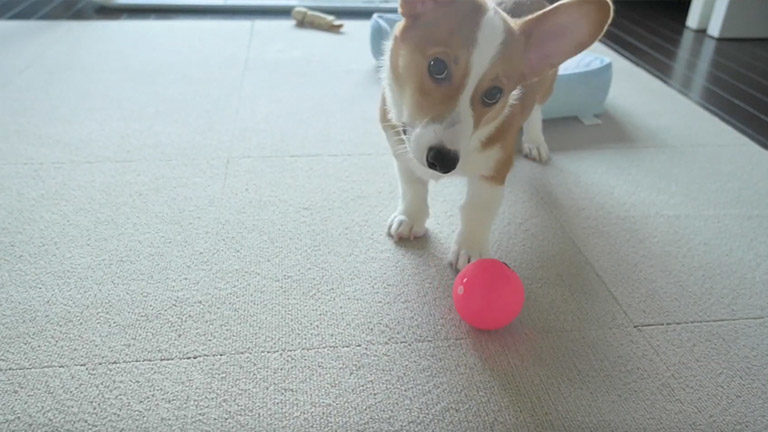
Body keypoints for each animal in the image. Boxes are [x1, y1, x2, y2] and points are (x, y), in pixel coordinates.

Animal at [378, 0, 612, 270]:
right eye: (437, 66)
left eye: (494, 94)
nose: (444, 161)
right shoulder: (399, 145)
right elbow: (412, 185)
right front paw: (410, 217)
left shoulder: (493, 171)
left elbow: (477, 208)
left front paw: (470, 249)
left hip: (546, 85)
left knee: (536, 110)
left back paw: (535, 141)